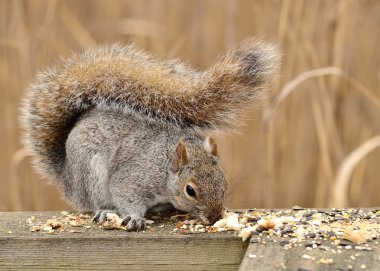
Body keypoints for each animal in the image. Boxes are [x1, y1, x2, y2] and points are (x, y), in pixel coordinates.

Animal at [21, 39, 280, 232]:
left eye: (223, 183)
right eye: (190, 190)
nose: (215, 216)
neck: (165, 167)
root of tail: (67, 178)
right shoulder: (134, 177)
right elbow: (125, 193)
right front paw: (136, 217)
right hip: (89, 173)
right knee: (93, 201)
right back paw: (105, 210)